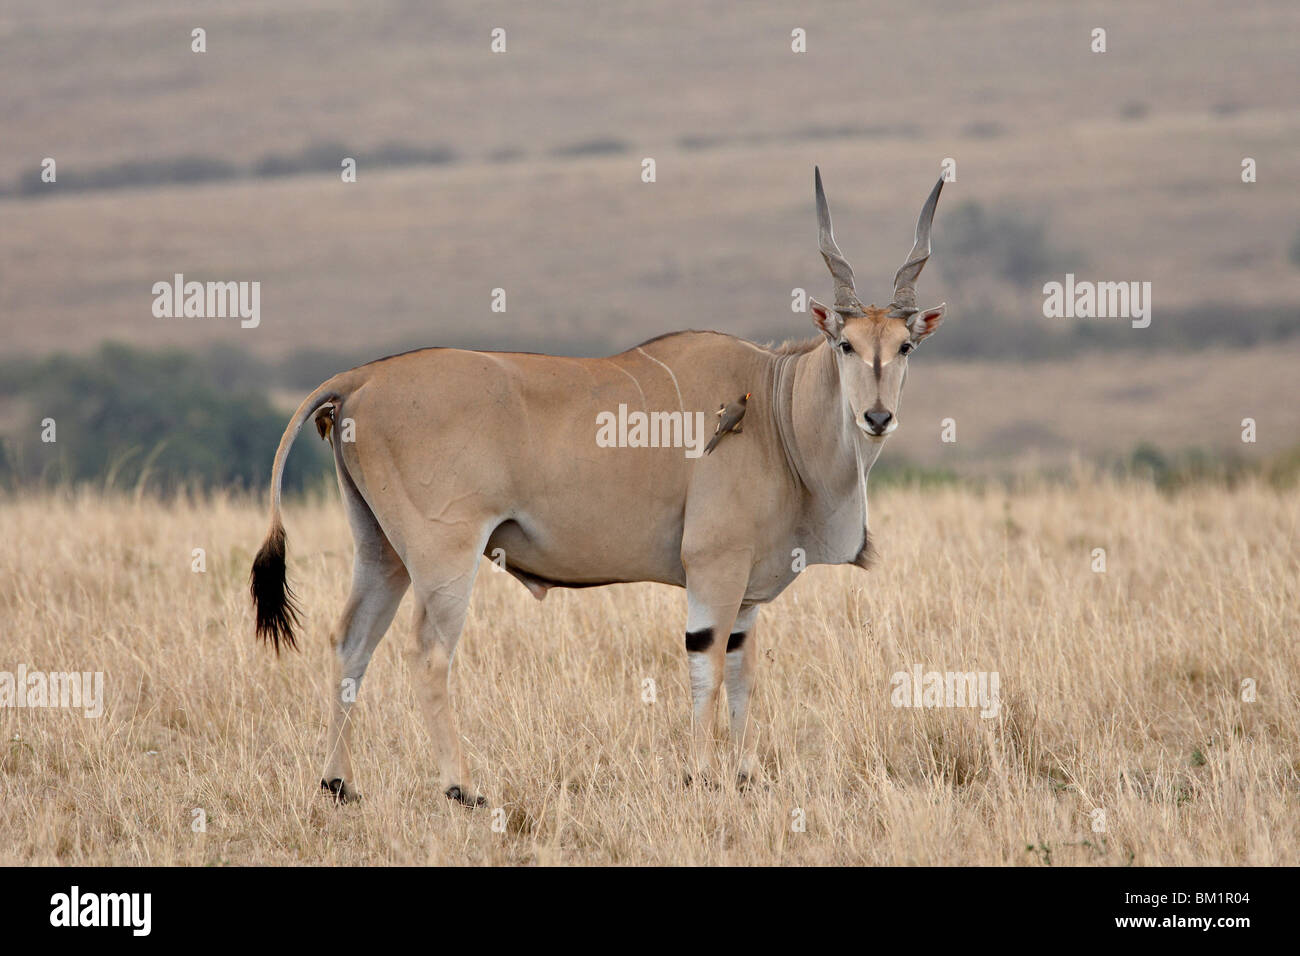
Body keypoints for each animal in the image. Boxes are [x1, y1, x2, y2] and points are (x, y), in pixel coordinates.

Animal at [250, 166, 946, 806]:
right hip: (443, 555)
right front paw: (701, 776)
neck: (775, 406)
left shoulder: (746, 590)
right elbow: (707, 664)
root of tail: (361, 379)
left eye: (905, 346)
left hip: (380, 550)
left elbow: (742, 669)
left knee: (351, 642)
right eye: (846, 344)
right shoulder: (714, 569)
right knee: (428, 653)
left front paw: (746, 776)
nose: (877, 417)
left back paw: (339, 783)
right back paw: (462, 787)